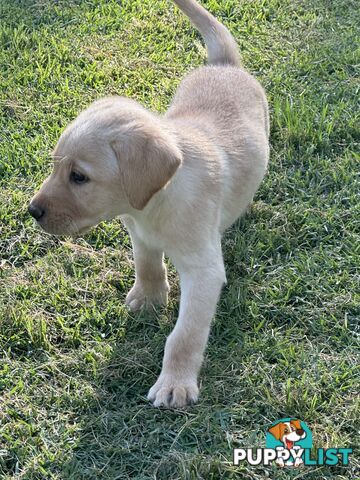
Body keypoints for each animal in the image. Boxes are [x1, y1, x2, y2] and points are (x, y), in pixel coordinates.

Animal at [29, 0, 268, 408]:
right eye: (55, 167)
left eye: (79, 177)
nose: (32, 212)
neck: (152, 206)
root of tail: (223, 65)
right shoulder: (137, 232)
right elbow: (147, 265)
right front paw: (149, 297)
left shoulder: (203, 271)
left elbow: (184, 334)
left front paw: (175, 383)